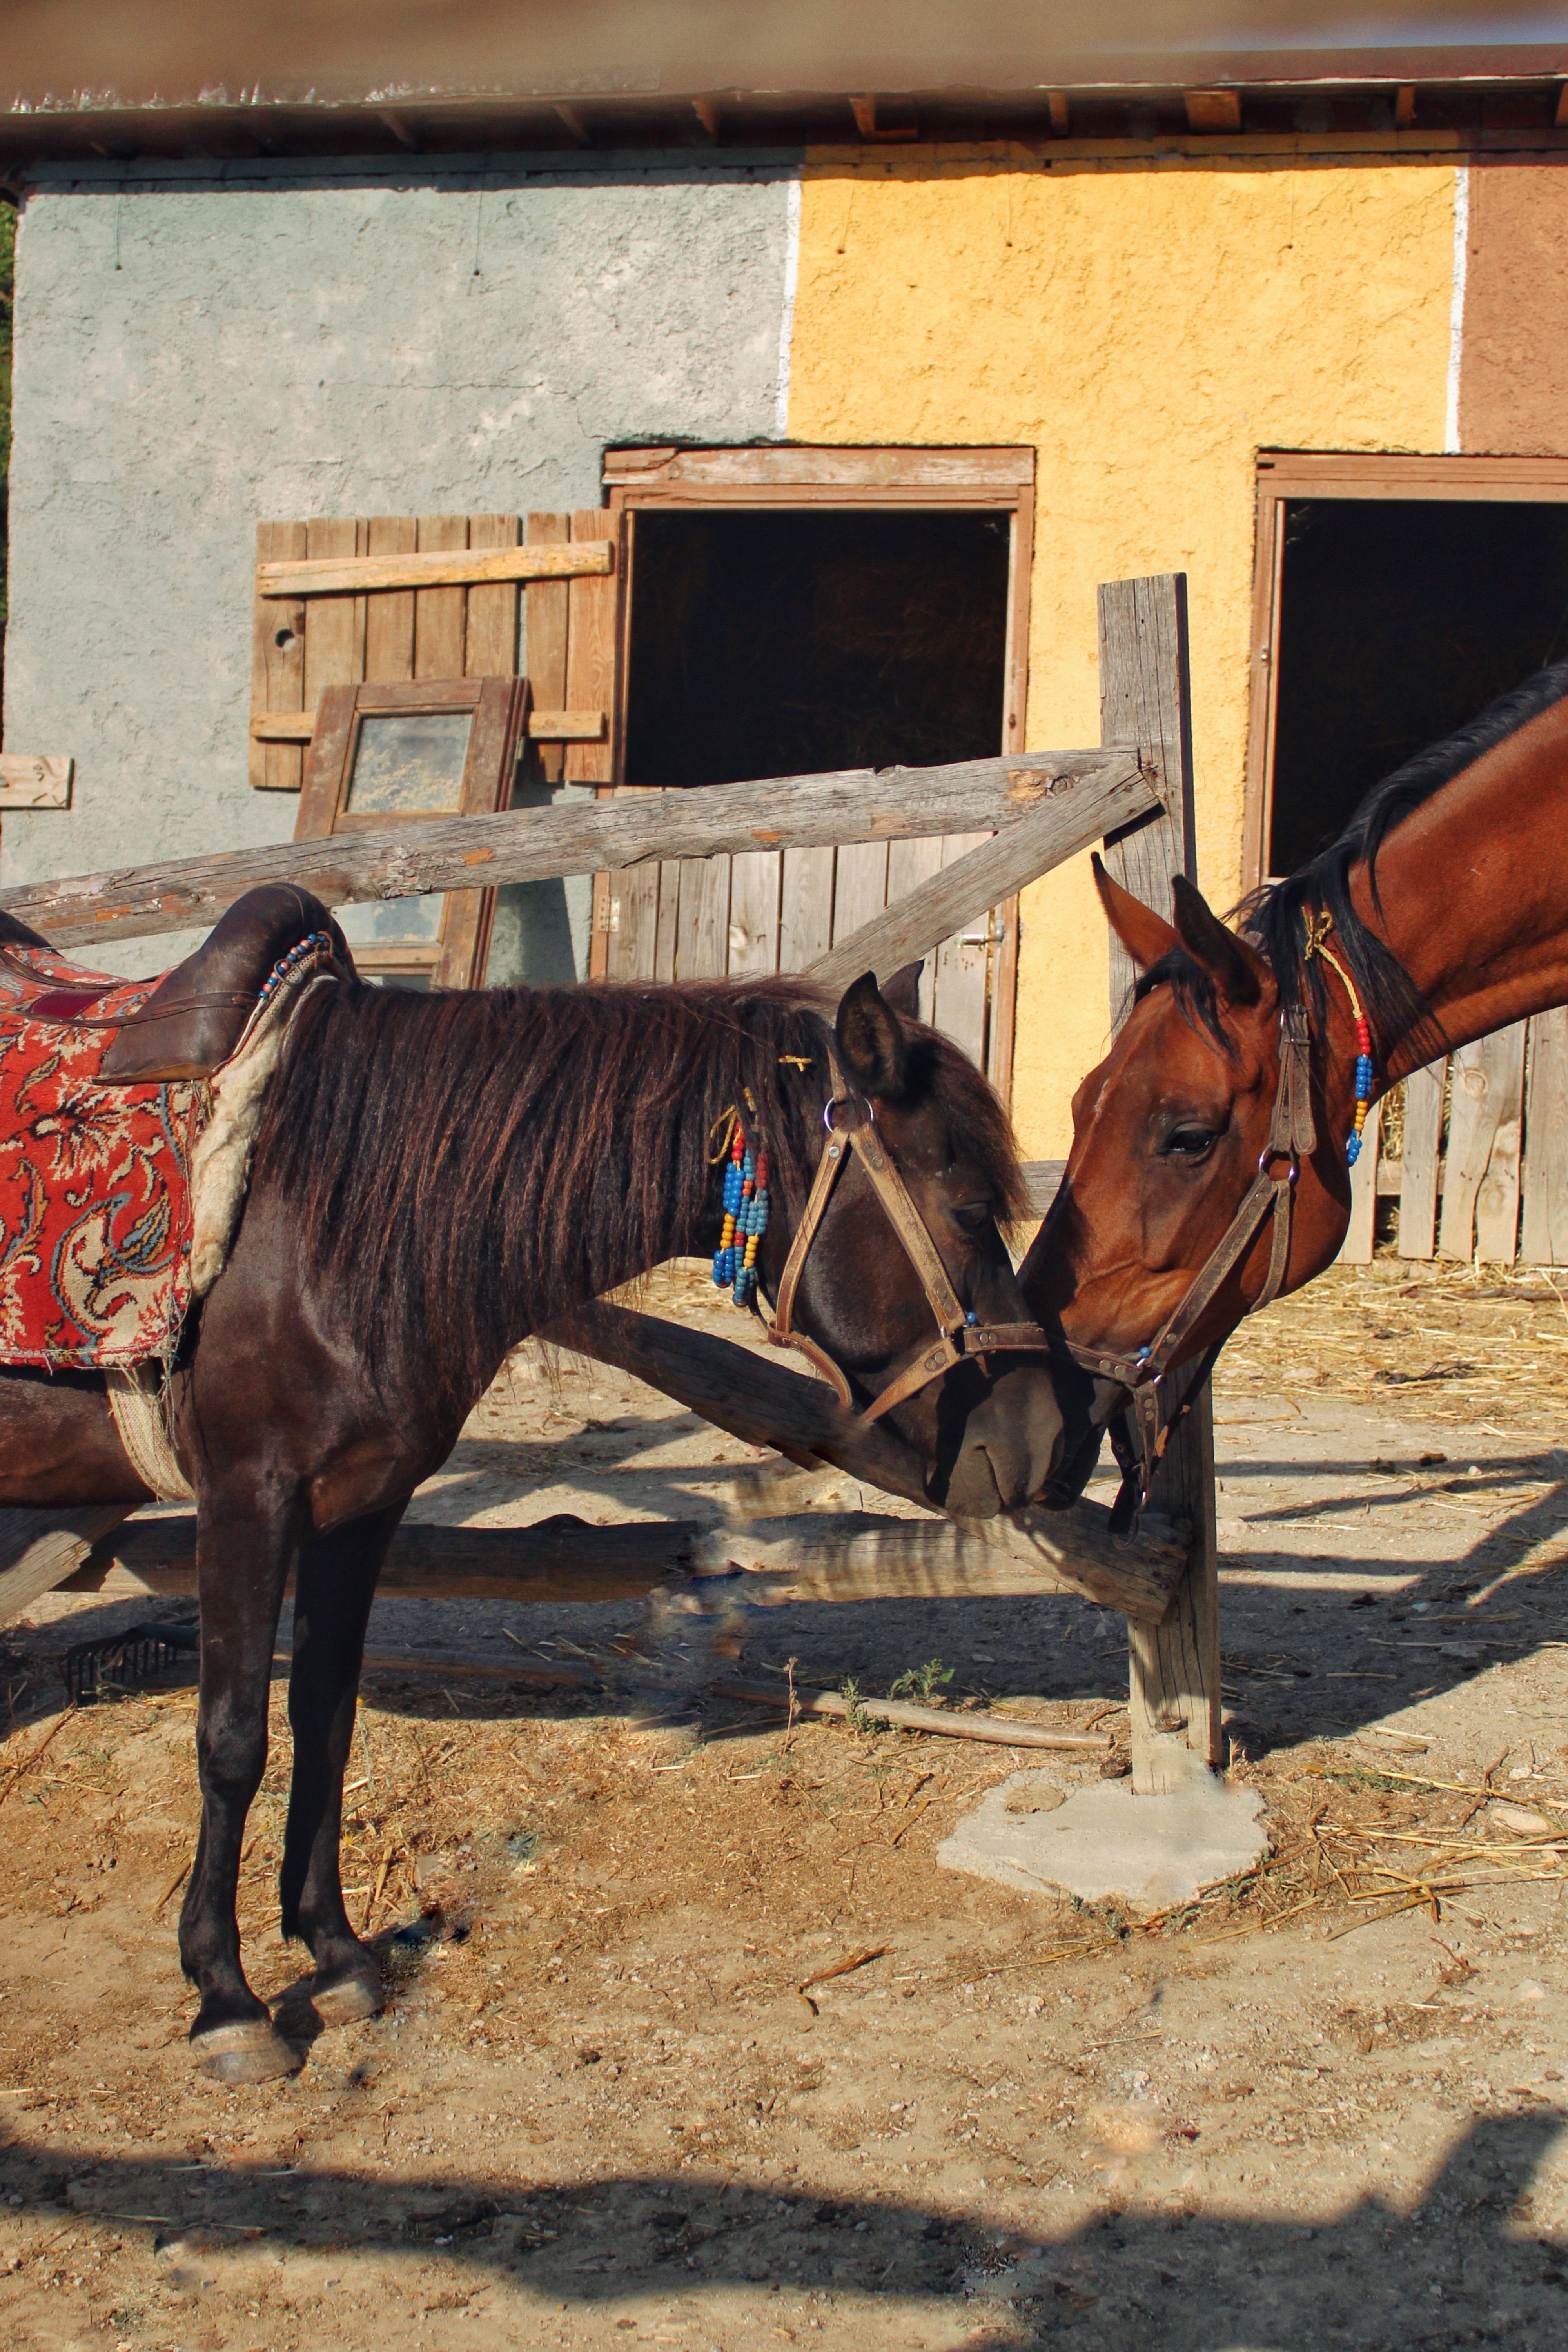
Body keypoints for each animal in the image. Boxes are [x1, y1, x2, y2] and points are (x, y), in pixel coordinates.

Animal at [0, 896, 1086, 2081]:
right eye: (969, 1206)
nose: (1053, 1443)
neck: (324, 1211)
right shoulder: (249, 1497)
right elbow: (235, 1739)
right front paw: (227, 1999)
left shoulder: (359, 1507)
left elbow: (326, 1720)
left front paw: (334, 1954)